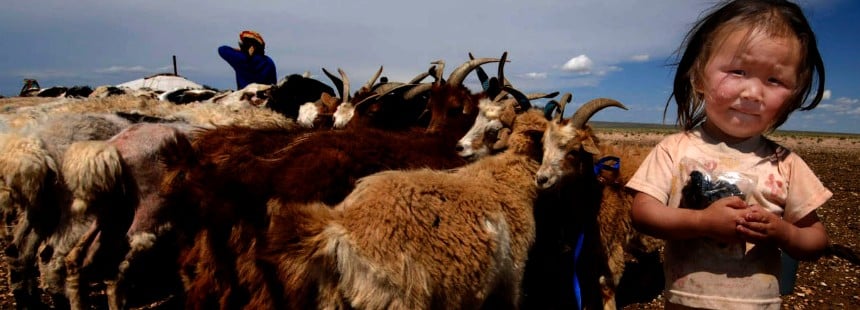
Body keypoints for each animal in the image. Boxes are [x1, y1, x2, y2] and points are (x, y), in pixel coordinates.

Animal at [258, 92, 548, 310]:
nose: (461, 147)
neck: (504, 176)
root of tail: (339, 225)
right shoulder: (511, 279)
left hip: (332, 297)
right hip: (395, 298)